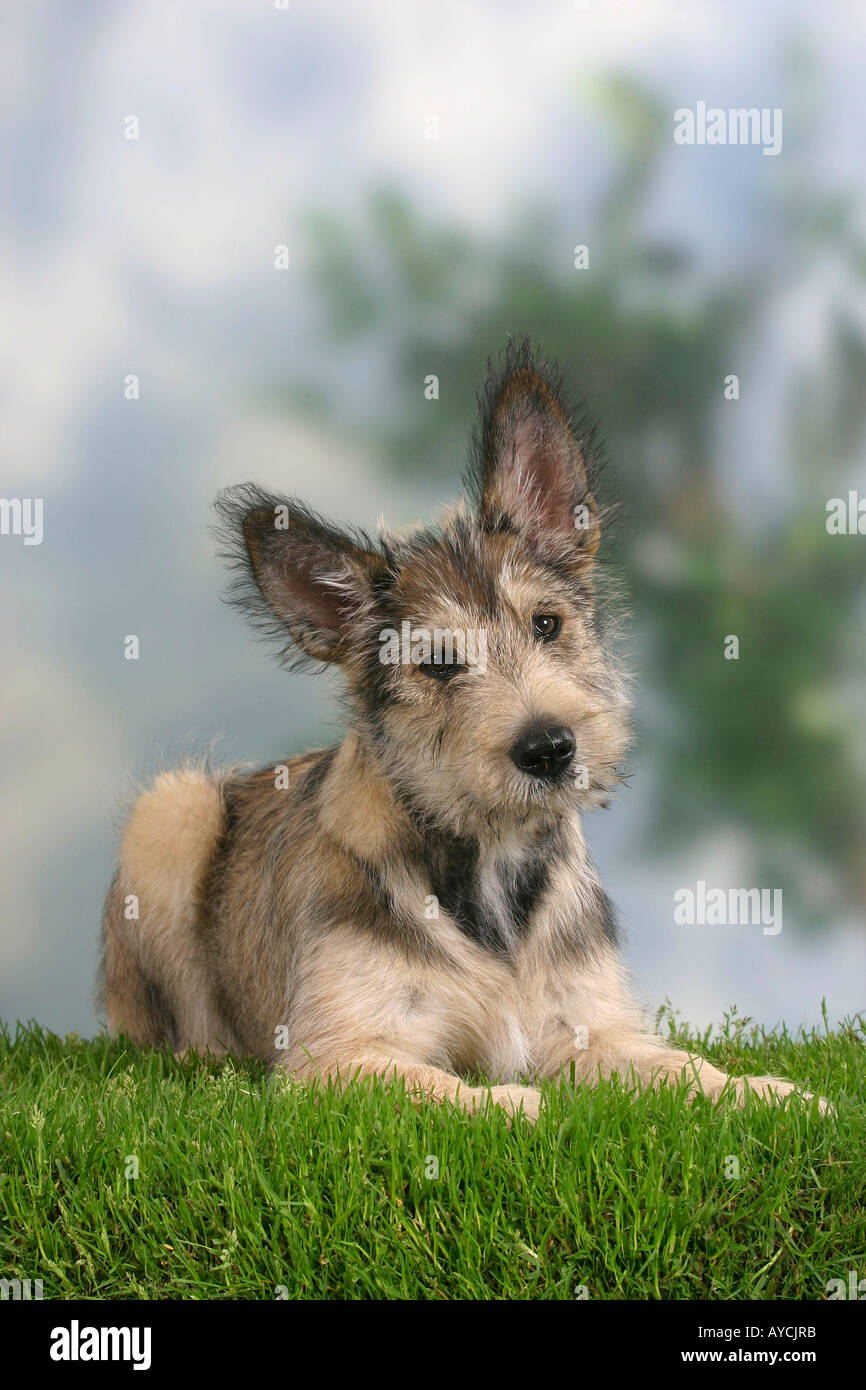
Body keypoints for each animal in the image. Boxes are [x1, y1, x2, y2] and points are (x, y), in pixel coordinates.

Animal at [97, 341, 817, 1123]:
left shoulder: (593, 1031)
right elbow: (454, 1090)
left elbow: (683, 1068)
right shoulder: (337, 1057)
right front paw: (521, 1105)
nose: (550, 748)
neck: (488, 858)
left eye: (546, 625)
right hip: (170, 809)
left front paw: (770, 1092)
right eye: (439, 664)